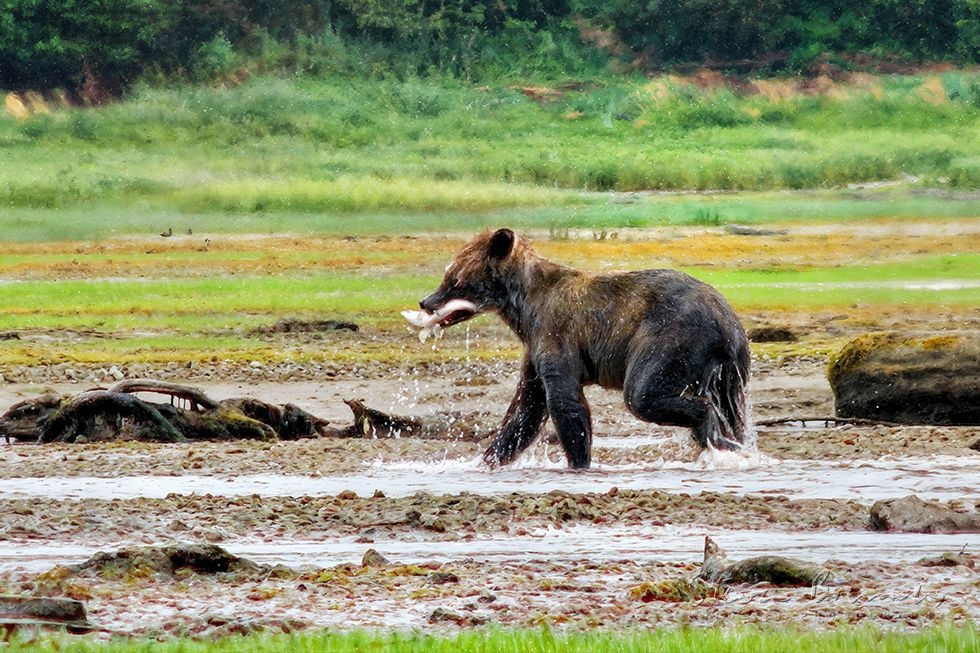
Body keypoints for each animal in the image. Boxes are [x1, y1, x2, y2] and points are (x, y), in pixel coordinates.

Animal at [412, 228, 751, 469]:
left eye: (454, 279)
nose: (425, 301)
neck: (524, 307)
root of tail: (729, 322)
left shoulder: (556, 333)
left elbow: (565, 402)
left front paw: (578, 462)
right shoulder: (534, 349)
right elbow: (525, 410)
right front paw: (486, 460)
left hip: (671, 337)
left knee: (642, 394)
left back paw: (713, 435)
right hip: (728, 371)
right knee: (733, 412)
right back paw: (731, 442)